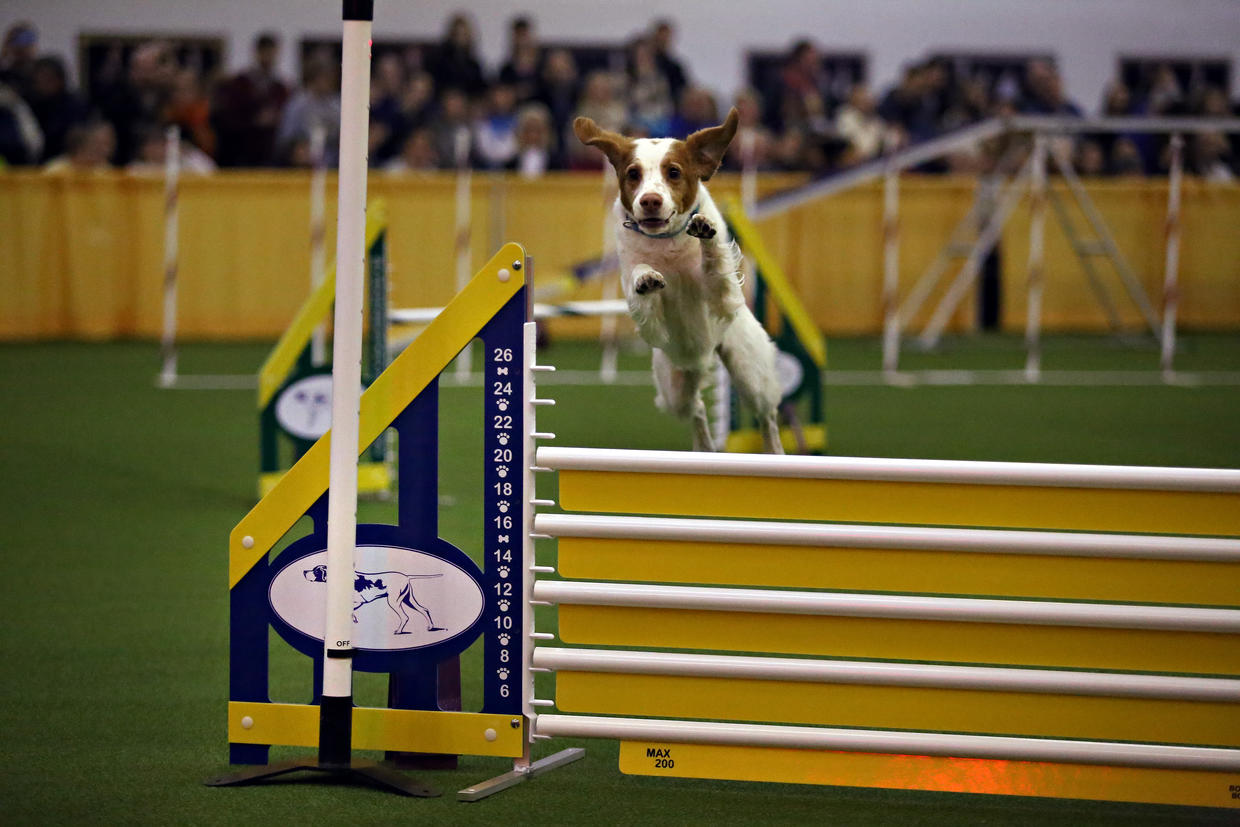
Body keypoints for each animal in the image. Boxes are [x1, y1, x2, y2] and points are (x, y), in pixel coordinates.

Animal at [572, 107, 783, 456]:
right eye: (633, 174)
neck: (666, 241)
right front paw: (646, 278)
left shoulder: (720, 297)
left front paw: (704, 230)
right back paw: (706, 449)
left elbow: (713, 263)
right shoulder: (649, 316)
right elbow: (639, 278)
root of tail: (702, 357)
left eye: (673, 172)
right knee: (695, 407)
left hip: (749, 371)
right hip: (675, 384)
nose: (650, 201)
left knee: (767, 416)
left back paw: (775, 453)